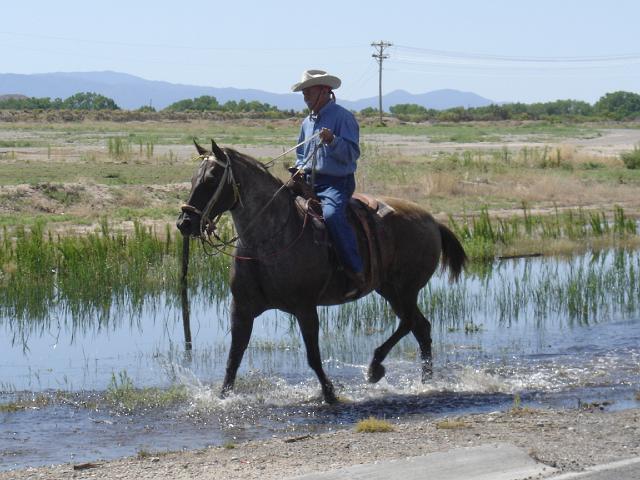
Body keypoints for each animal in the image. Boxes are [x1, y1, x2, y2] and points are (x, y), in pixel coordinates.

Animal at [178, 141, 468, 404]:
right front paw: (223, 397)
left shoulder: (305, 308)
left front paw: (329, 394)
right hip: (389, 290)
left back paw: (376, 368)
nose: (185, 223)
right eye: (192, 179)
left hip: (404, 290)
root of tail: (432, 220)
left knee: (410, 323)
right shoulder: (241, 309)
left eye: (212, 179)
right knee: (421, 328)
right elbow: (233, 358)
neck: (269, 239)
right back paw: (425, 381)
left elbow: (313, 356)